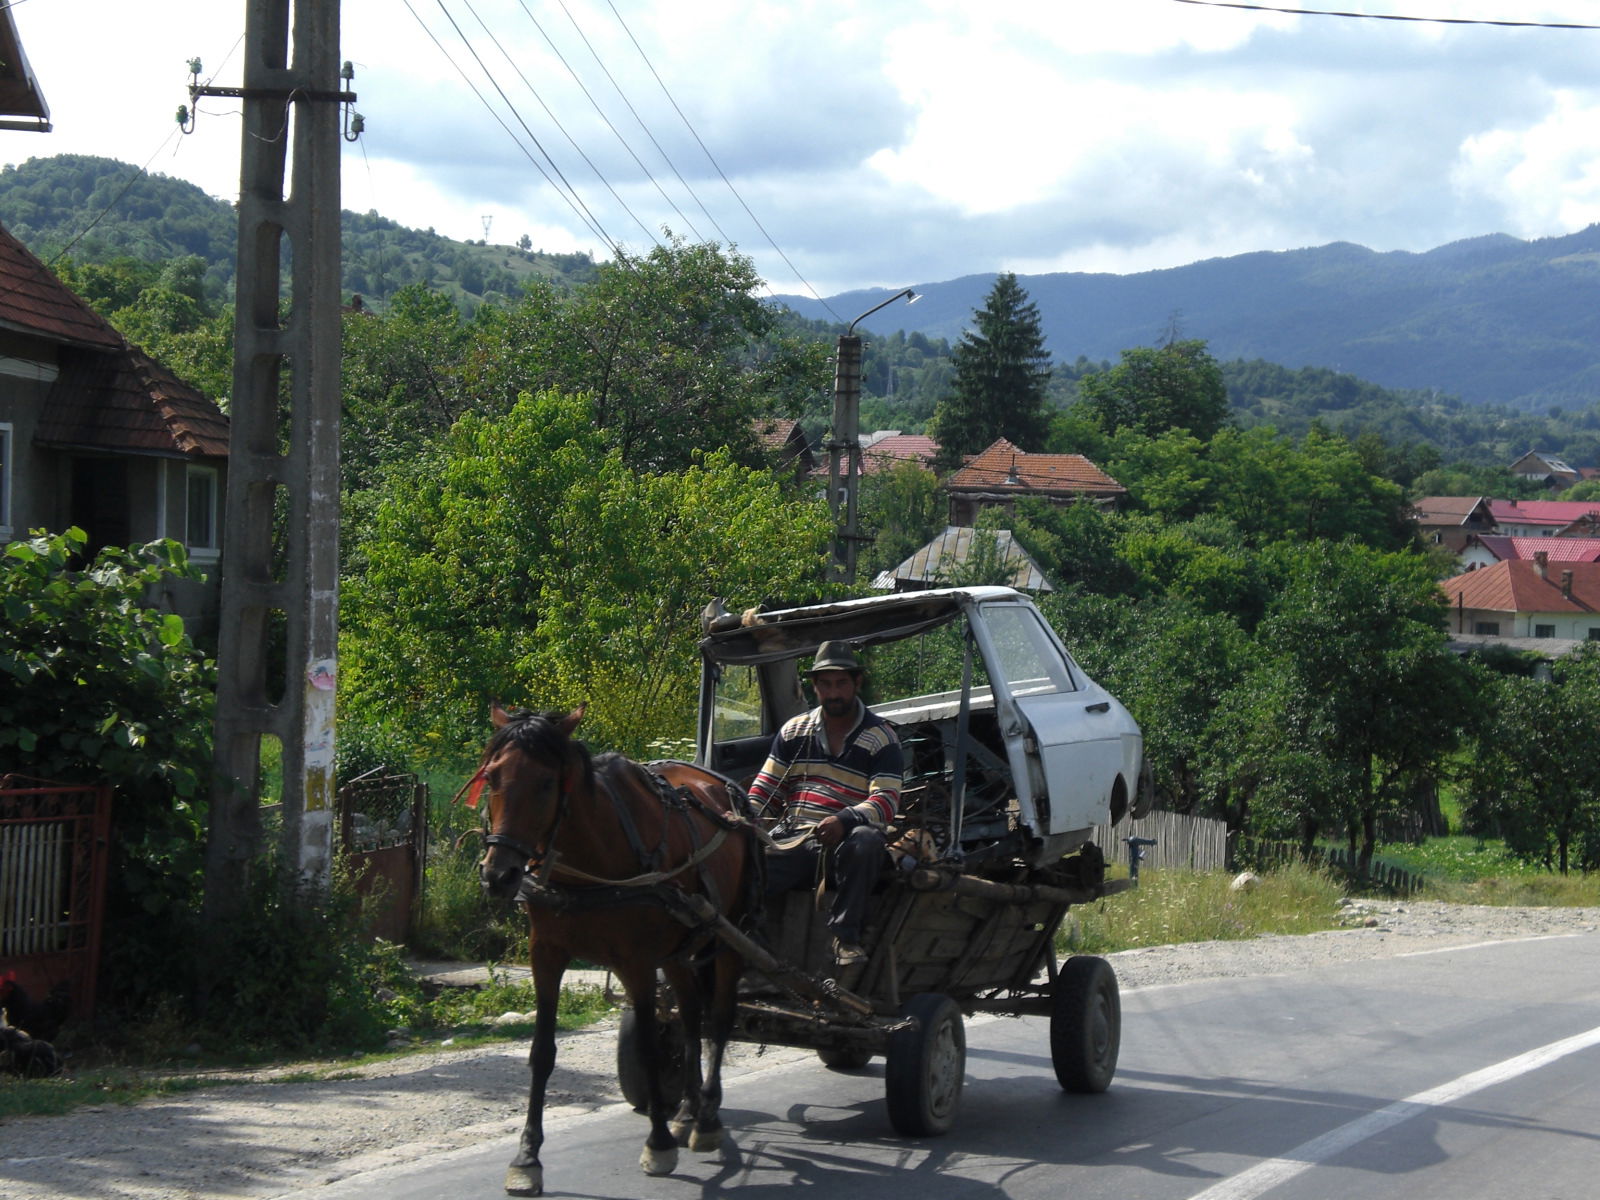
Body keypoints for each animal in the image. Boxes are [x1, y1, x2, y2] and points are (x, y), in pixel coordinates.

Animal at [470, 710, 758, 1196]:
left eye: (546, 783)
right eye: (491, 777)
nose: (499, 875)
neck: (592, 860)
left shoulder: (636, 962)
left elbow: (648, 1045)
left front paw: (658, 1145)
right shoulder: (545, 954)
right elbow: (542, 1052)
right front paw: (527, 1158)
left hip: (728, 935)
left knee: (718, 1019)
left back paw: (706, 1118)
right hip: (679, 950)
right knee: (691, 1014)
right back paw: (687, 1110)